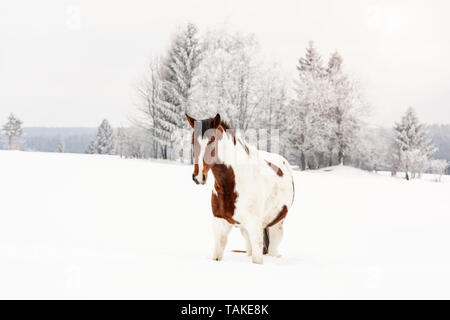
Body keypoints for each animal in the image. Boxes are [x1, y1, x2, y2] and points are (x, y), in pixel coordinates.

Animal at [186, 114, 296, 264]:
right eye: (193, 141)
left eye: (212, 140)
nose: (198, 176)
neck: (232, 184)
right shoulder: (220, 223)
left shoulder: (255, 227)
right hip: (245, 231)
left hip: (276, 227)